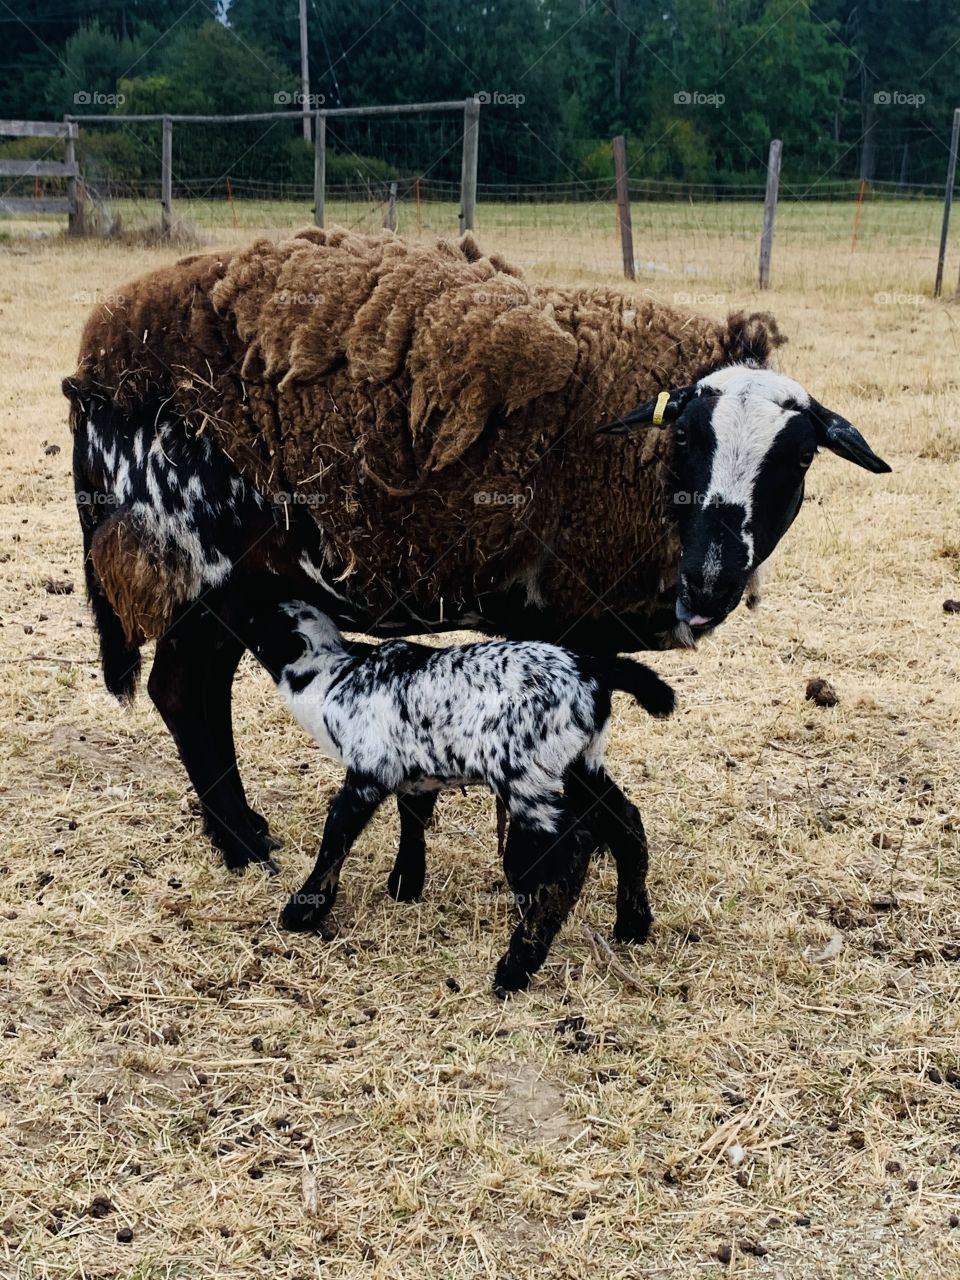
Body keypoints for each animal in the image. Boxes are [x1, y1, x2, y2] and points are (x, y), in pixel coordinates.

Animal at [62, 227, 891, 872]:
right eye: (686, 437)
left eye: (800, 459)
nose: (712, 581)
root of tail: (98, 358)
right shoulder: (553, 620)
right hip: (197, 560)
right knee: (180, 689)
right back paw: (241, 844)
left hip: (246, 578)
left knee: (197, 689)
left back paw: (239, 831)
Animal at [233, 594, 676, 994]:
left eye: (258, 620)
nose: (235, 605)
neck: (333, 675)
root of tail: (591, 669)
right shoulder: (417, 774)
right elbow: (412, 820)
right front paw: (405, 883)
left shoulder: (369, 771)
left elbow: (335, 838)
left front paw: (303, 909)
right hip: (580, 763)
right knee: (626, 822)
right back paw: (633, 923)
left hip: (523, 773)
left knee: (573, 848)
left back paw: (518, 964)